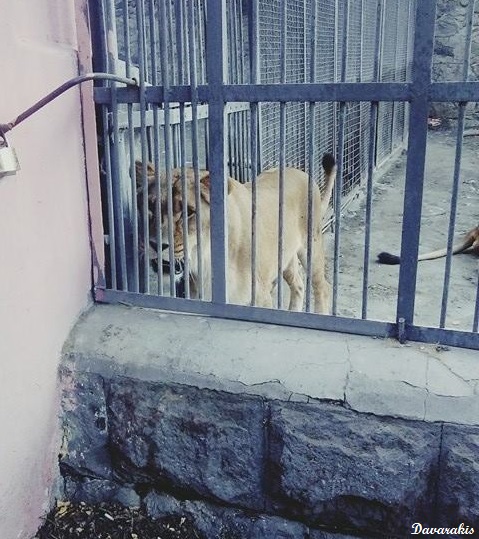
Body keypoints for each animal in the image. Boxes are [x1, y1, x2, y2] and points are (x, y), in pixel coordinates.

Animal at [137, 155, 336, 312]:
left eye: (189, 212)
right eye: (150, 207)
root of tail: (301, 172)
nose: (156, 244)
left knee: (323, 287)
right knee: (299, 285)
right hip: (285, 258)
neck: (206, 260)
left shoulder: (261, 298)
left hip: (312, 246)